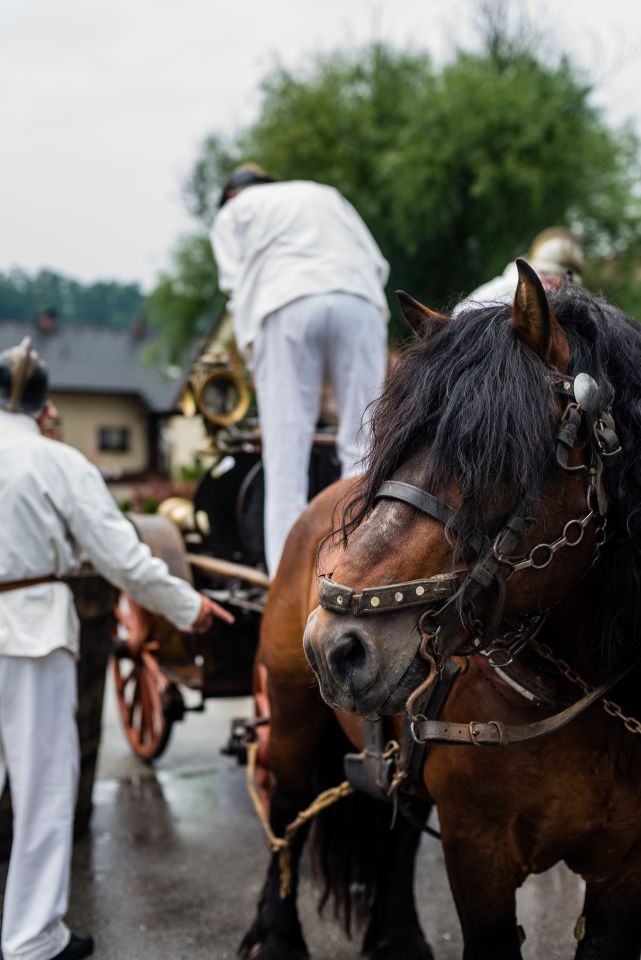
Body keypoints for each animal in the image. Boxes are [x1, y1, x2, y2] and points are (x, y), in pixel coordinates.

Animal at [244, 264, 640, 960]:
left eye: (493, 451)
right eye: (396, 443)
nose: (336, 645)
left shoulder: (623, 872)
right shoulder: (480, 855)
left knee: (400, 825)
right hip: (290, 715)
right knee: (286, 810)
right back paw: (279, 935)